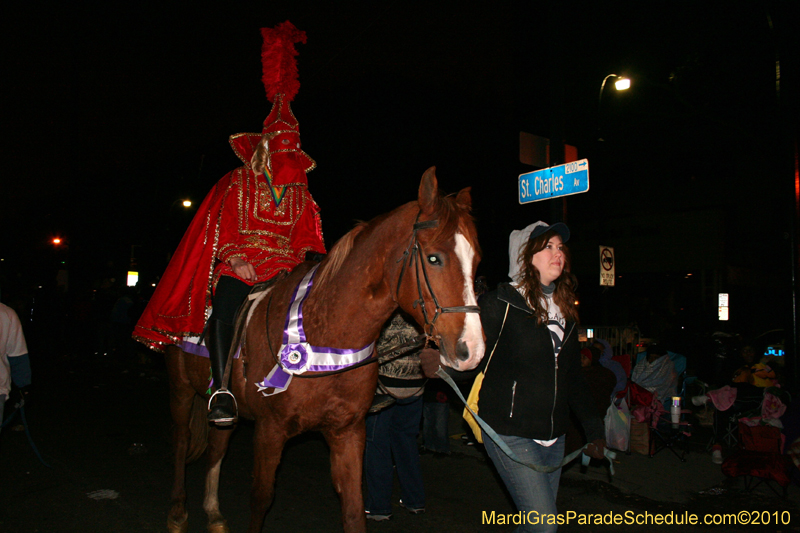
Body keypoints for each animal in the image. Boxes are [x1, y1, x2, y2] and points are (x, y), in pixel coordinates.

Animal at [166, 167, 484, 532]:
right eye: (434, 258)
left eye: (476, 261)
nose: (472, 350)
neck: (328, 335)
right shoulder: (270, 430)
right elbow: (260, 498)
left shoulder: (348, 432)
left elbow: (353, 508)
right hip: (181, 389)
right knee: (181, 441)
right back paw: (177, 512)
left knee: (217, 445)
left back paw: (215, 514)